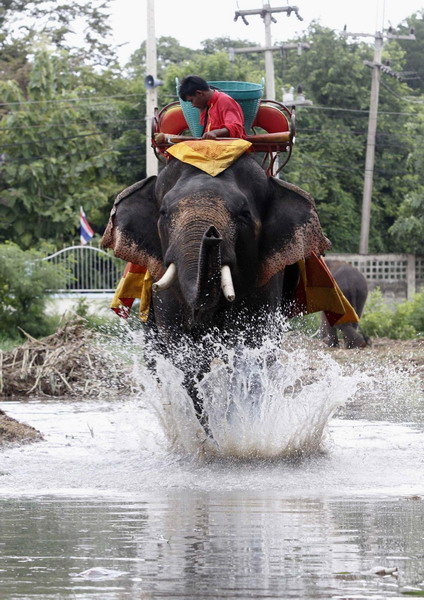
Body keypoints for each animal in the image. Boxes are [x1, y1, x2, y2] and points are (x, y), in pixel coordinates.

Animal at [102, 152, 332, 420]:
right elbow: (182, 351)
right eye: (163, 212)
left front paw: (235, 424)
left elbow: (251, 350)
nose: (211, 235)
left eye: (243, 213)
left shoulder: (266, 281)